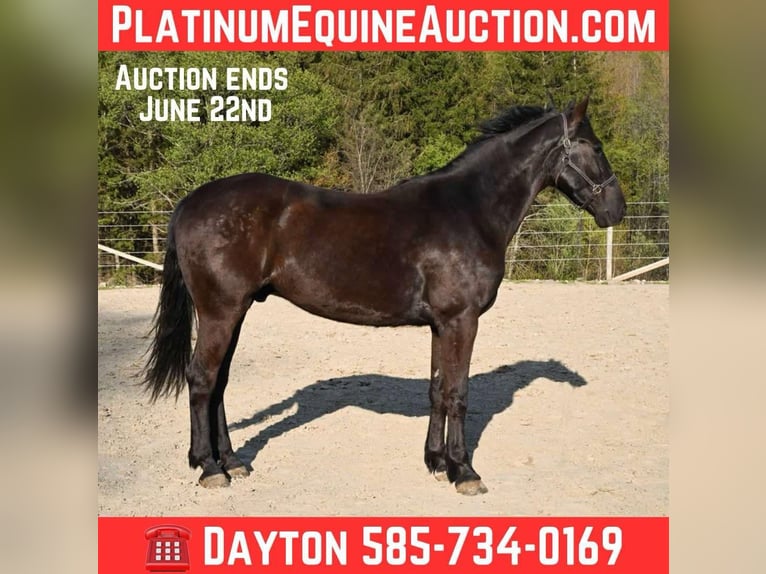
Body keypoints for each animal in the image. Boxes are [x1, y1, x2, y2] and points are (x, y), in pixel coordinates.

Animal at [142, 95, 626, 495]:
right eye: (596, 147)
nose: (616, 210)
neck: (470, 210)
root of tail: (190, 202)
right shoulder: (462, 320)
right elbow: (458, 393)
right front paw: (464, 472)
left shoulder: (442, 324)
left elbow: (437, 390)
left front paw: (436, 463)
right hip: (221, 312)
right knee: (202, 379)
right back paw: (209, 468)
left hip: (234, 312)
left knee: (219, 382)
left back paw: (232, 461)